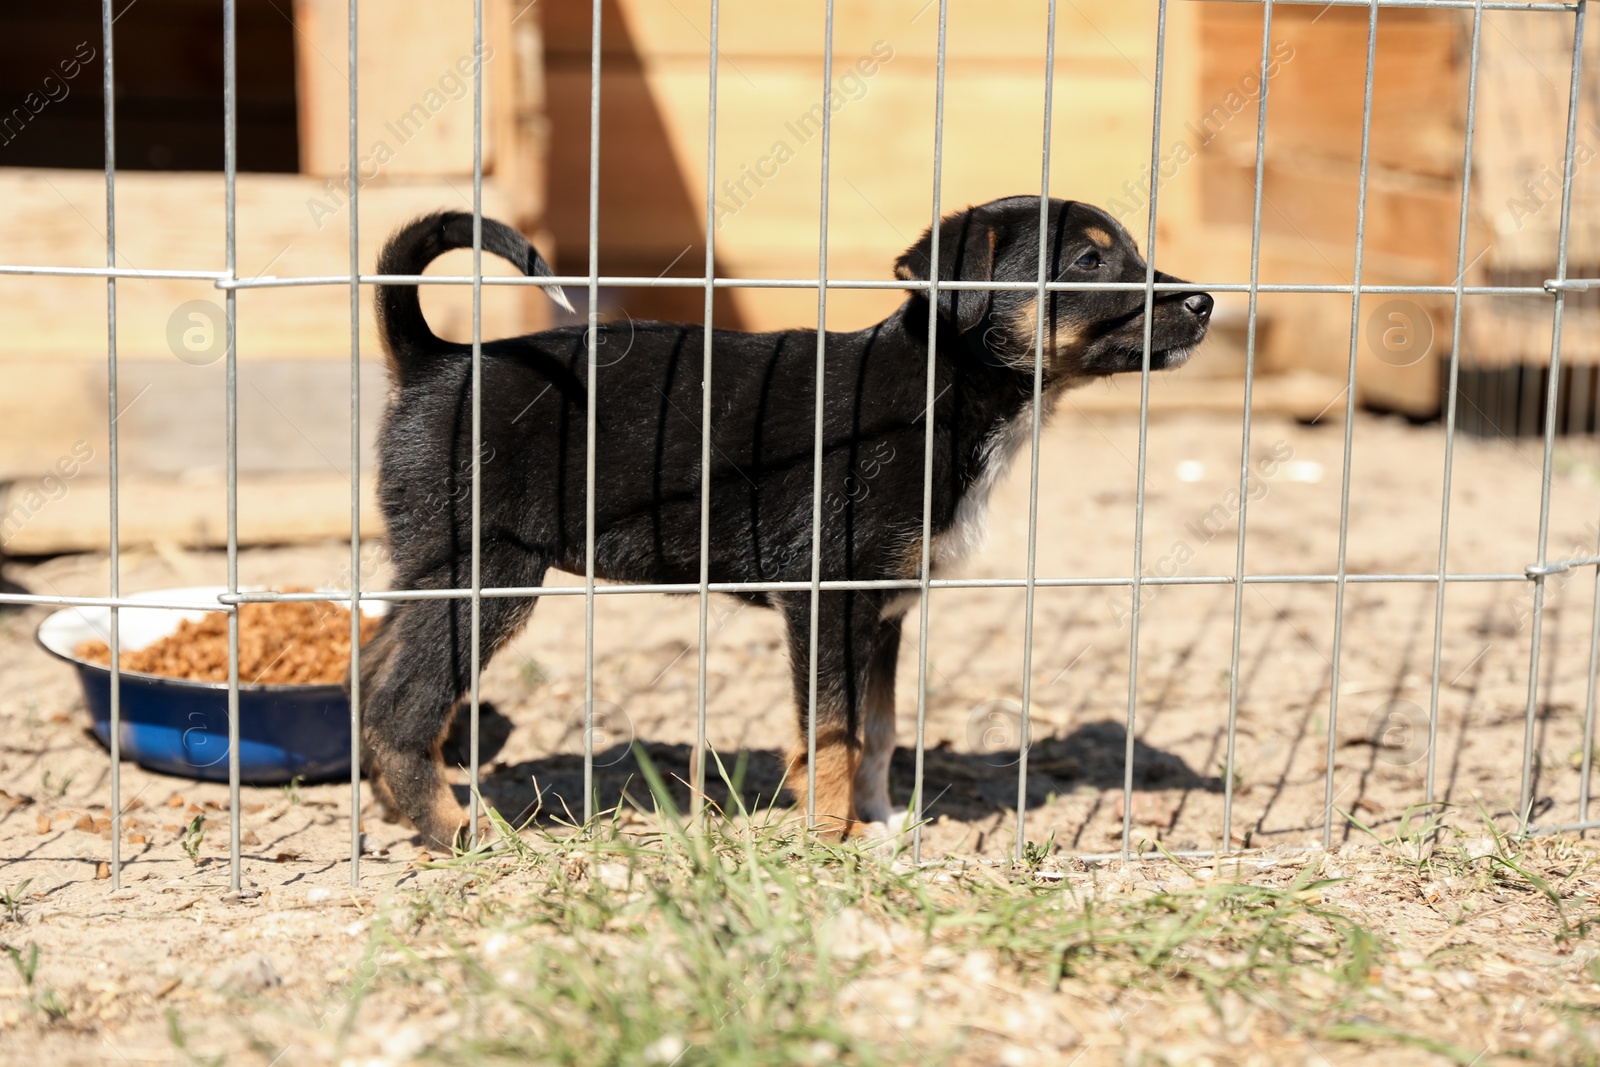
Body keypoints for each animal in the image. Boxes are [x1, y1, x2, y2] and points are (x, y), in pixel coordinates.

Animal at [363, 195, 1209, 844]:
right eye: (1089, 261)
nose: (1206, 301)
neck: (942, 391)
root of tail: (437, 359)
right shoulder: (827, 599)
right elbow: (834, 731)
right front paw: (832, 835)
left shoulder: (885, 609)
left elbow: (878, 731)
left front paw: (879, 821)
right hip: (486, 573)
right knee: (403, 707)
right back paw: (458, 830)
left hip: (429, 570)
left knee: (372, 677)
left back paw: (391, 807)